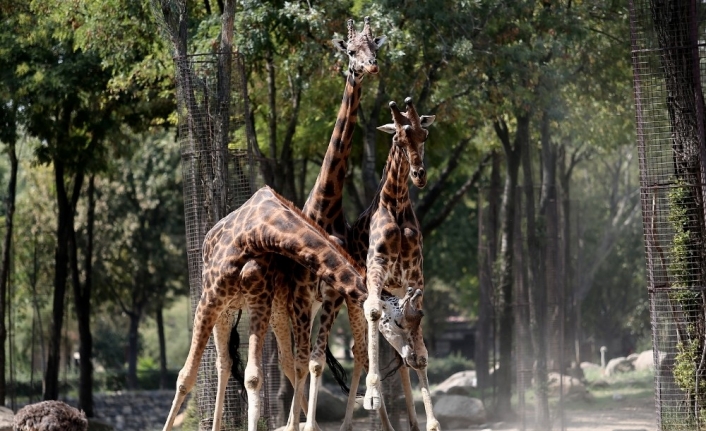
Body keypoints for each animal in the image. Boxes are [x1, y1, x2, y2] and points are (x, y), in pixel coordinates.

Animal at [162, 187, 420, 431]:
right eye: (398, 323)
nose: (414, 358)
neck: (260, 231)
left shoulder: (262, 299)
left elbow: (254, 377)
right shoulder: (209, 298)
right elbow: (185, 377)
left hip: (266, 309)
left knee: (261, 361)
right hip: (224, 308)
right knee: (223, 363)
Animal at [302, 98, 440, 431]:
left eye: (424, 136)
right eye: (398, 139)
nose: (419, 175)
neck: (397, 206)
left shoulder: (414, 275)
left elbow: (416, 351)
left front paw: (431, 422)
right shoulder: (376, 269)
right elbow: (375, 316)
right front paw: (374, 395)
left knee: (387, 353)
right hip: (343, 297)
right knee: (353, 348)